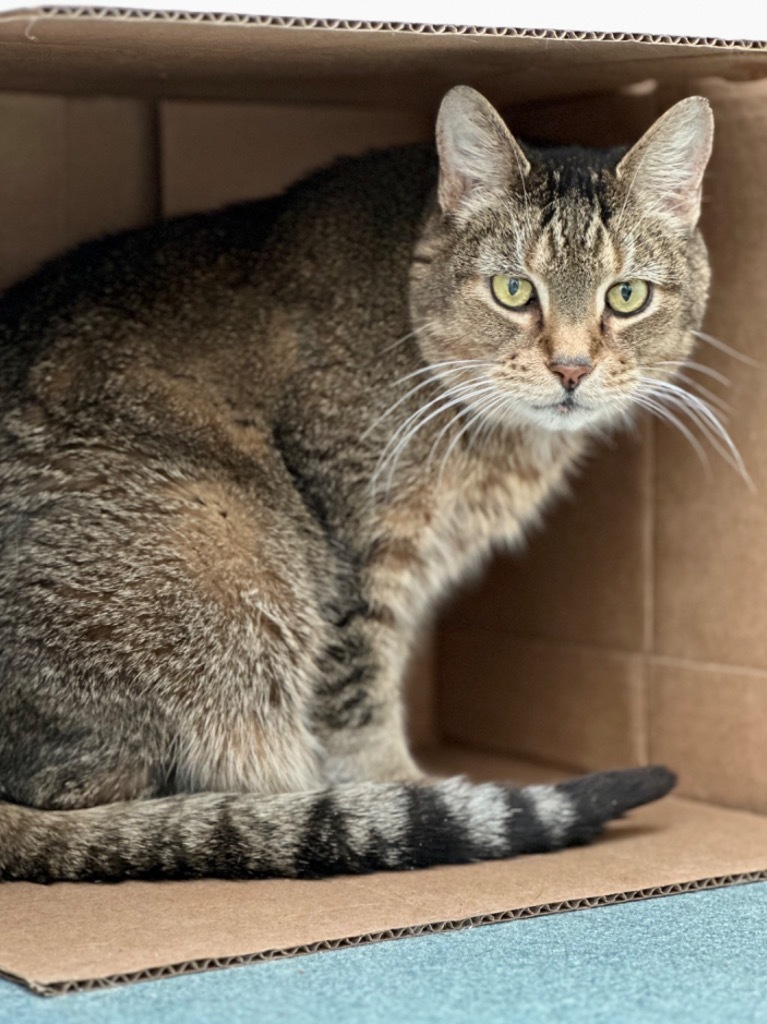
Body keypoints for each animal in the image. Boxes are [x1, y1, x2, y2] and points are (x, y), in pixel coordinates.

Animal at [0, 86, 712, 880]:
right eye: (512, 289)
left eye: (626, 296)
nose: (571, 368)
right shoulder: (358, 557)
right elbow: (361, 697)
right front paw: (396, 785)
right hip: (230, 552)